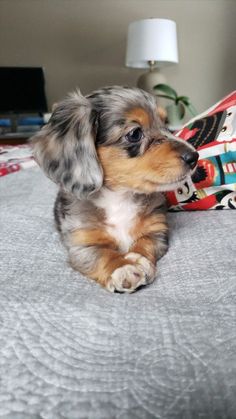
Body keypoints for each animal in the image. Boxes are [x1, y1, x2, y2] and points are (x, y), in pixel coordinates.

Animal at [30, 87, 198, 294]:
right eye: (135, 134)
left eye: (166, 124)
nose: (194, 156)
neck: (119, 197)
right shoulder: (83, 244)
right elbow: (102, 254)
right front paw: (122, 268)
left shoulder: (156, 231)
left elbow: (145, 243)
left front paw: (138, 259)